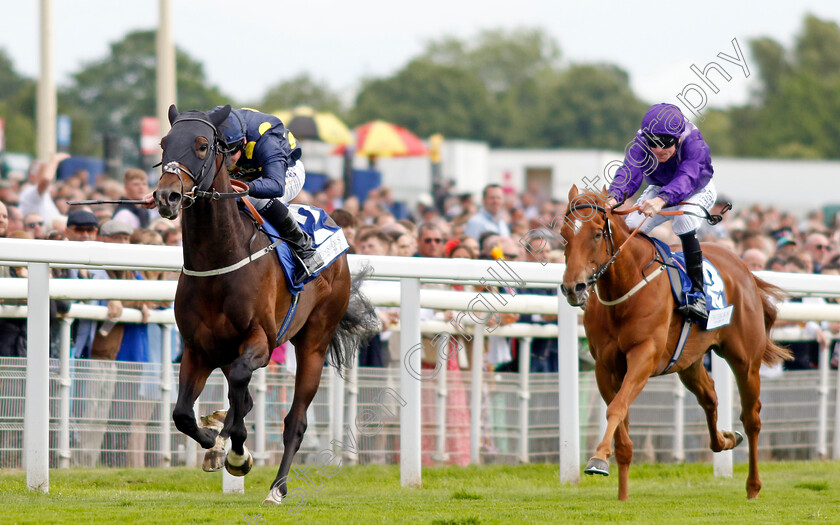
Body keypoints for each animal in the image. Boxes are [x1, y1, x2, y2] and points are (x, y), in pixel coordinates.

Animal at [152, 103, 374, 504]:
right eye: (163, 143)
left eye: (203, 145)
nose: (167, 196)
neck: (217, 262)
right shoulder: (197, 349)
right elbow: (182, 414)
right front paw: (214, 442)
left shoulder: (261, 341)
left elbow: (242, 389)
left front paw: (237, 454)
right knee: (239, 398)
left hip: (314, 342)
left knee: (294, 421)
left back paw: (276, 488)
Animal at [560, 184, 792, 500]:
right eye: (563, 234)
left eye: (597, 234)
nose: (574, 288)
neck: (625, 287)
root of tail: (742, 266)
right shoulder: (605, 366)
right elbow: (622, 426)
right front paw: (621, 493)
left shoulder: (644, 356)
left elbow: (616, 408)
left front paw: (597, 459)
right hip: (689, 362)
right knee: (710, 397)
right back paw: (726, 439)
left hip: (745, 360)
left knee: (752, 418)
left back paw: (753, 486)